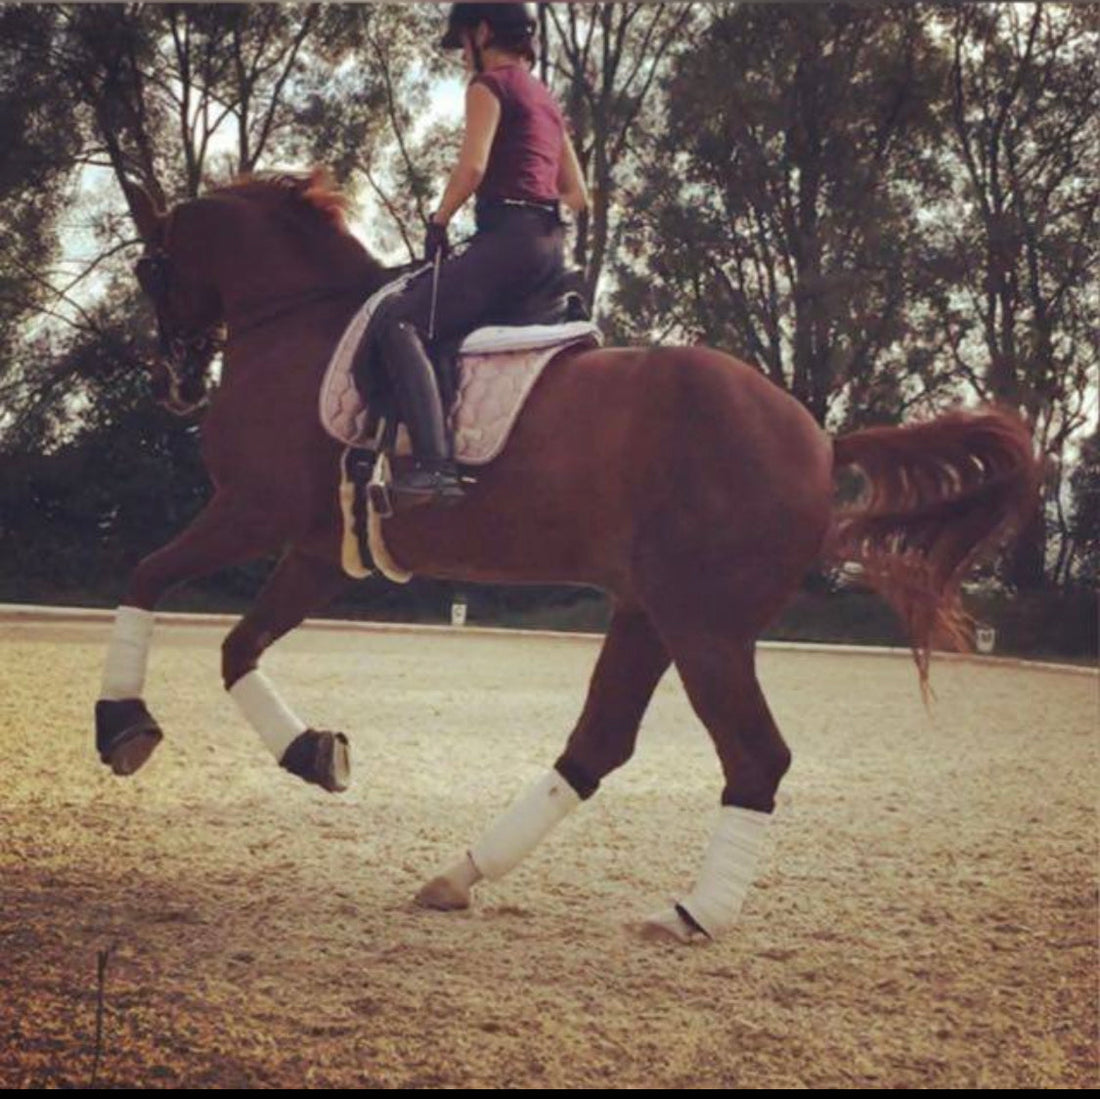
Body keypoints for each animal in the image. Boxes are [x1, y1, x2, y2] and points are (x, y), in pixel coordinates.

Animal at [97, 169, 1038, 943]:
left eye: (150, 268)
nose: (173, 382)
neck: (300, 320)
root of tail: (822, 437)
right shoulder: (321, 550)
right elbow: (236, 646)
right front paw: (313, 752)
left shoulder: (253, 513)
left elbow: (146, 579)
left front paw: (123, 726)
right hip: (651, 613)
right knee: (598, 745)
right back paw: (461, 874)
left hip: (704, 629)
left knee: (753, 758)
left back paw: (693, 913)